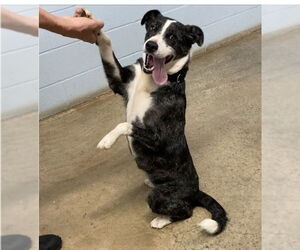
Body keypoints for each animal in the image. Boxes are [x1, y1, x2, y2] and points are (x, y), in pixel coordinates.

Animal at [82, 7, 227, 234]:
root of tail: (195, 190)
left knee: (186, 211)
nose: (151, 45)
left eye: (173, 37)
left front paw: (107, 140)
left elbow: (126, 124)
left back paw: (161, 220)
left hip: (161, 196)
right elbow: (107, 46)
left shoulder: (159, 138)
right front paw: (92, 24)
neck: (151, 79)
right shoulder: (119, 80)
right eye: (152, 27)